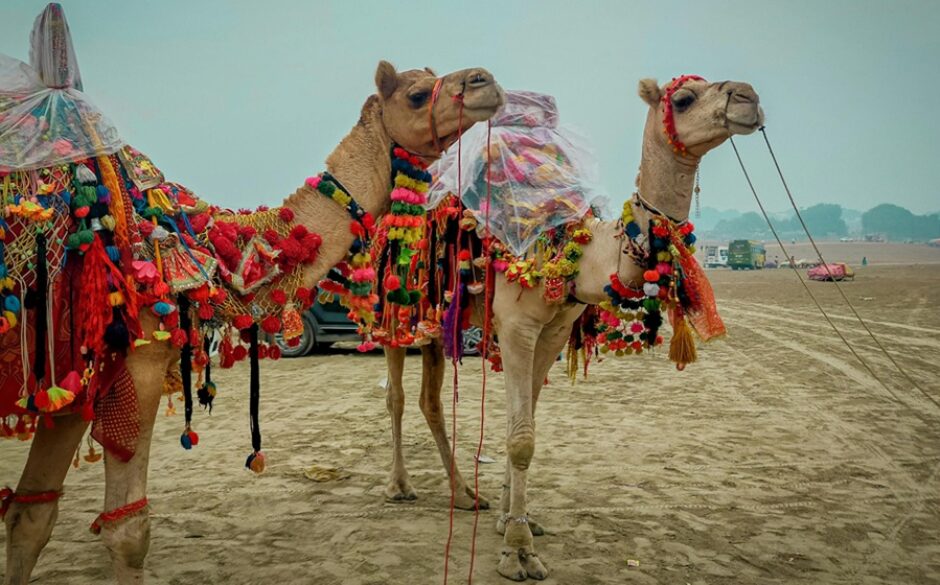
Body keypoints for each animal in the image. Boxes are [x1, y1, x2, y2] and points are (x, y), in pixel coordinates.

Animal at [3, 10, 504, 584]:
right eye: (418, 94)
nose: (486, 80)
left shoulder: (72, 384)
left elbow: (30, 518)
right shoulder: (138, 363)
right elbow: (128, 532)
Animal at [382, 74, 764, 580]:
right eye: (683, 98)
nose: (747, 97)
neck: (579, 250)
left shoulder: (554, 331)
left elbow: (523, 424)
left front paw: (512, 521)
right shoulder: (517, 325)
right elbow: (521, 439)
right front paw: (518, 552)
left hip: (441, 317)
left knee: (430, 399)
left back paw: (465, 496)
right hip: (398, 305)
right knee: (397, 396)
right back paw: (400, 486)